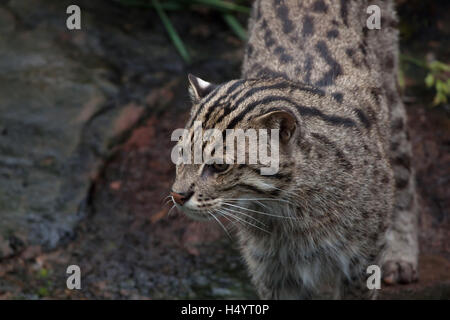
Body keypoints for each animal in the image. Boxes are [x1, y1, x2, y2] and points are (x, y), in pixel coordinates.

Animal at [170, 0, 418, 300]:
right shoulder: (270, 271)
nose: (177, 195)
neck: (286, 209)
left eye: (220, 166)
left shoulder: (362, 262)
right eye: (181, 153)